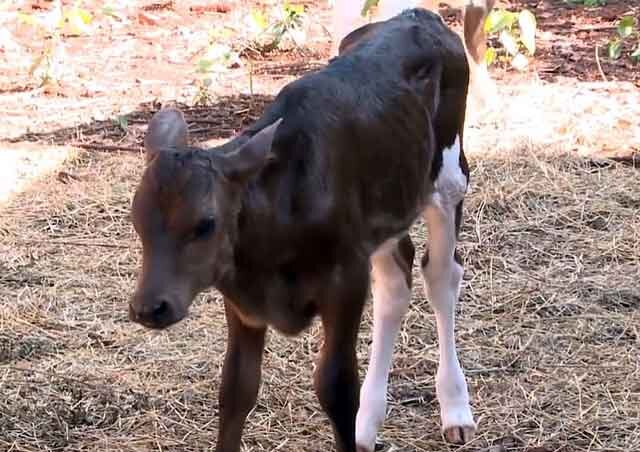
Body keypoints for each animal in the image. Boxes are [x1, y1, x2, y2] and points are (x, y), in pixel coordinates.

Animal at [127, 7, 476, 452]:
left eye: (205, 223)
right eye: (136, 220)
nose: (148, 308)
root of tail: (419, 15)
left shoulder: (345, 281)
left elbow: (335, 387)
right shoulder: (242, 303)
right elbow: (236, 388)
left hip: (449, 177)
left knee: (441, 276)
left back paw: (455, 409)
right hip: (387, 203)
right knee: (395, 282)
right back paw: (368, 424)